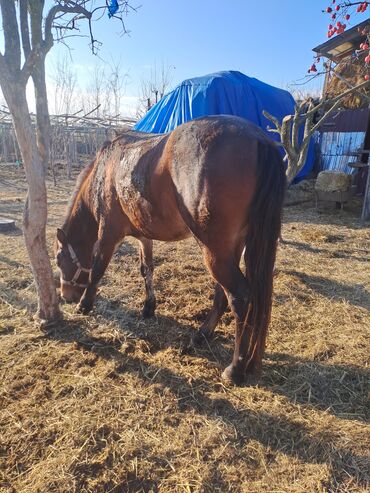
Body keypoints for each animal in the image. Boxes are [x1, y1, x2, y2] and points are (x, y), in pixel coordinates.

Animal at [55, 116, 286, 384]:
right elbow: (147, 269)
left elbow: (96, 270)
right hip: (230, 247)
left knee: (240, 296)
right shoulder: (144, 237)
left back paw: (235, 368)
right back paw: (203, 334)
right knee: (223, 292)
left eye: (59, 260)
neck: (105, 171)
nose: (66, 296)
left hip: (215, 250)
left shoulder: (108, 234)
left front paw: (85, 304)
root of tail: (259, 138)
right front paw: (148, 307)